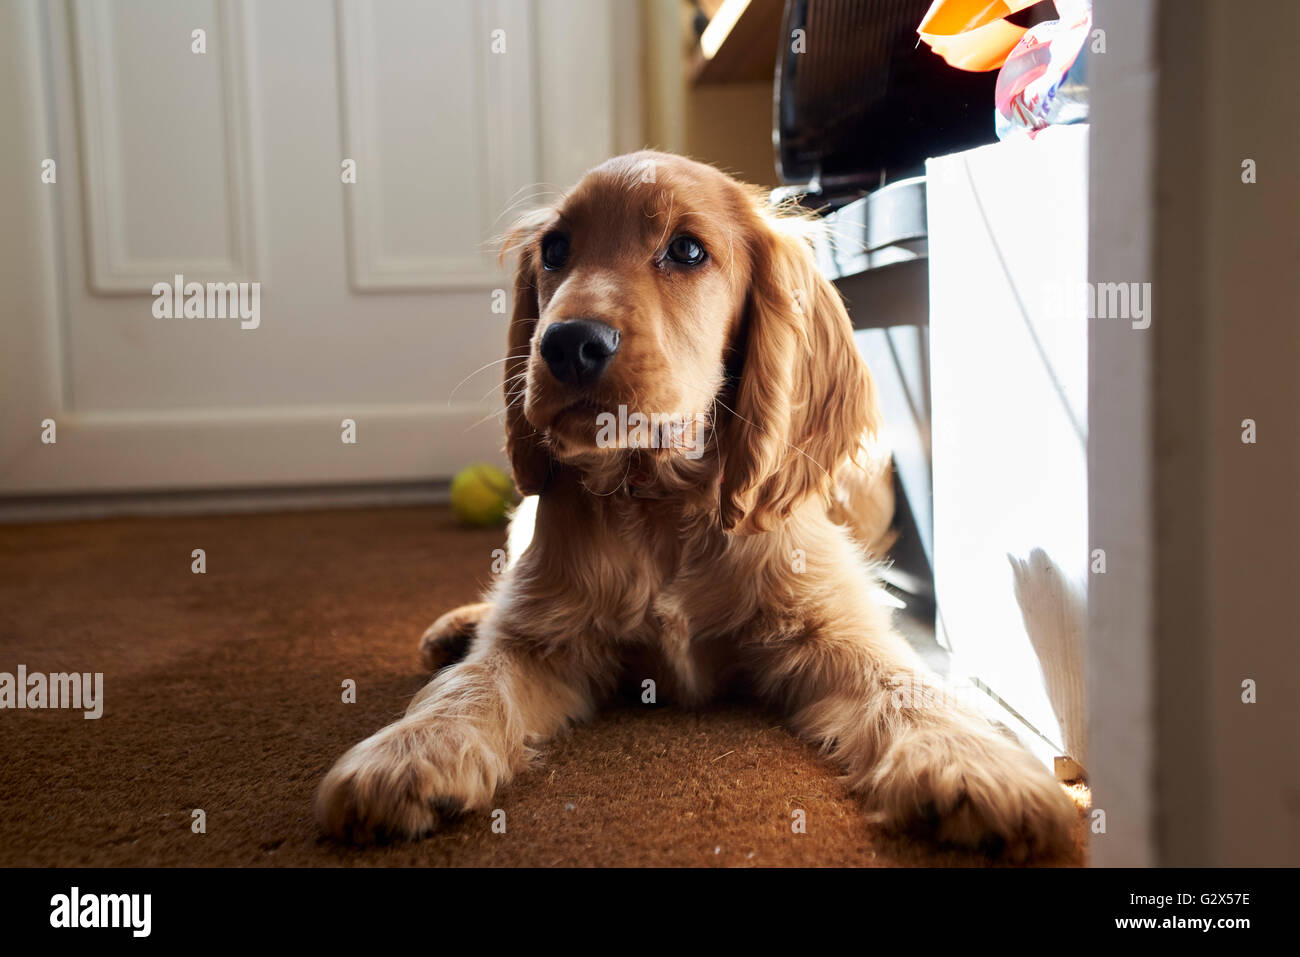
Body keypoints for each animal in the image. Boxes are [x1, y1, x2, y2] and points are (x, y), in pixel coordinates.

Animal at [317, 151, 1076, 858]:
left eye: (686, 250)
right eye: (556, 250)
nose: (567, 343)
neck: (660, 499)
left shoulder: (829, 625)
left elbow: (902, 678)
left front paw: (972, 762)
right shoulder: (542, 638)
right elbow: (476, 679)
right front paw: (409, 750)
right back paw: (460, 626)